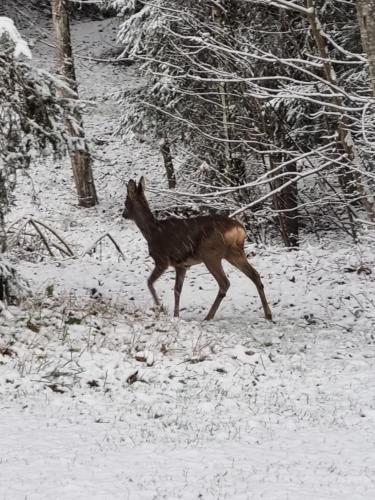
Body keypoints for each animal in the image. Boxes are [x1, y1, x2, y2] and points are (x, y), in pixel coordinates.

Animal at [123, 178, 274, 322]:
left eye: (125, 202)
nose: (123, 214)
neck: (152, 232)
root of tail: (239, 229)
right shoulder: (181, 265)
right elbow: (177, 290)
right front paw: (175, 315)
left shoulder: (162, 260)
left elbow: (149, 282)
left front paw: (160, 308)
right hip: (234, 252)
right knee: (255, 275)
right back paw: (268, 314)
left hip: (211, 254)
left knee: (224, 283)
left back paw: (208, 316)